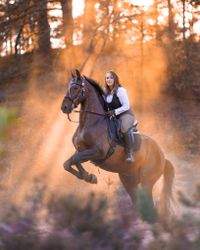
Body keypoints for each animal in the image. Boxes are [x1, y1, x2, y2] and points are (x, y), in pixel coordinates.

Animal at [60, 69, 174, 217]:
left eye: (75, 88)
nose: (64, 107)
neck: (92, 122)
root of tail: (163, 157)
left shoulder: (97, 152)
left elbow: (75, 159)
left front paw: (89, 177)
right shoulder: (82, 151)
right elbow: (69, 163)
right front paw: (89, 177)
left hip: (147, 182)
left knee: (150, 207)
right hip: (129, 180)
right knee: (137, 203)